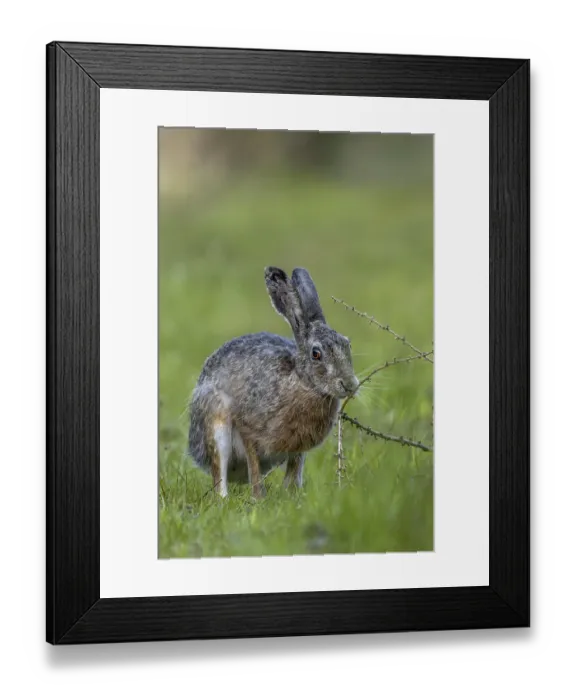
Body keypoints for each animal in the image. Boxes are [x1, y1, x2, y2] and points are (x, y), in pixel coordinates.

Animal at [188, 267, 359, 498]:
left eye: (347, 344)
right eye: (316, 354)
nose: (350, 385)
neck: (302, 382)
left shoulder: (298, 448)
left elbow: (293, 471)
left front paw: (291, 496)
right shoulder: (248, 429)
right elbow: (254, 466)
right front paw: (259, 498)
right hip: (215, 421)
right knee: (219, 472)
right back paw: (224, 498)